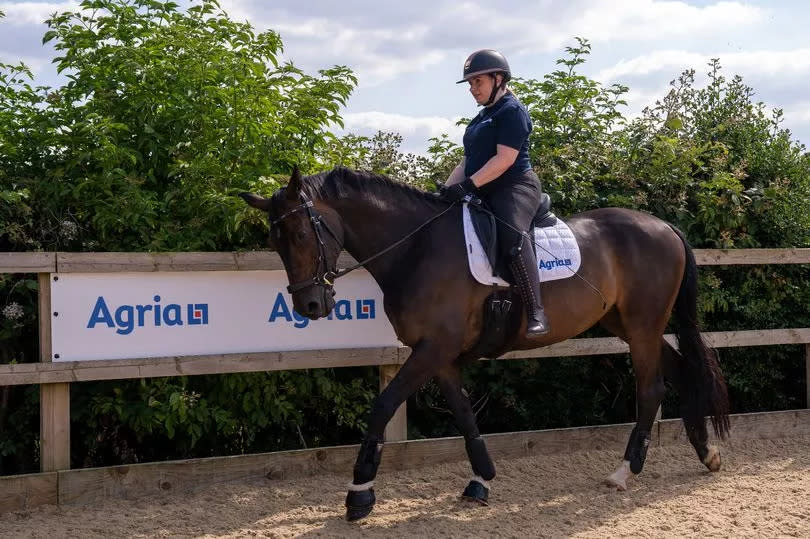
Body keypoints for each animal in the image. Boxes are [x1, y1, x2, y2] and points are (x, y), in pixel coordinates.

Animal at [238, 167, 724, 520]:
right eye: (274, 241)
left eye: (302, 235)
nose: (310, 305)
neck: (416, 248)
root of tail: (664, 226)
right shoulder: (439, 355)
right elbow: (465, 413)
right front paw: (481, 480)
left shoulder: (432, 349)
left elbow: (384, 405)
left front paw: (360, 493)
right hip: (627, 324)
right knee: (680, 374)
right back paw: (707, 453)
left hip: (642, 326)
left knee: (651, 388)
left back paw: (625, 471)